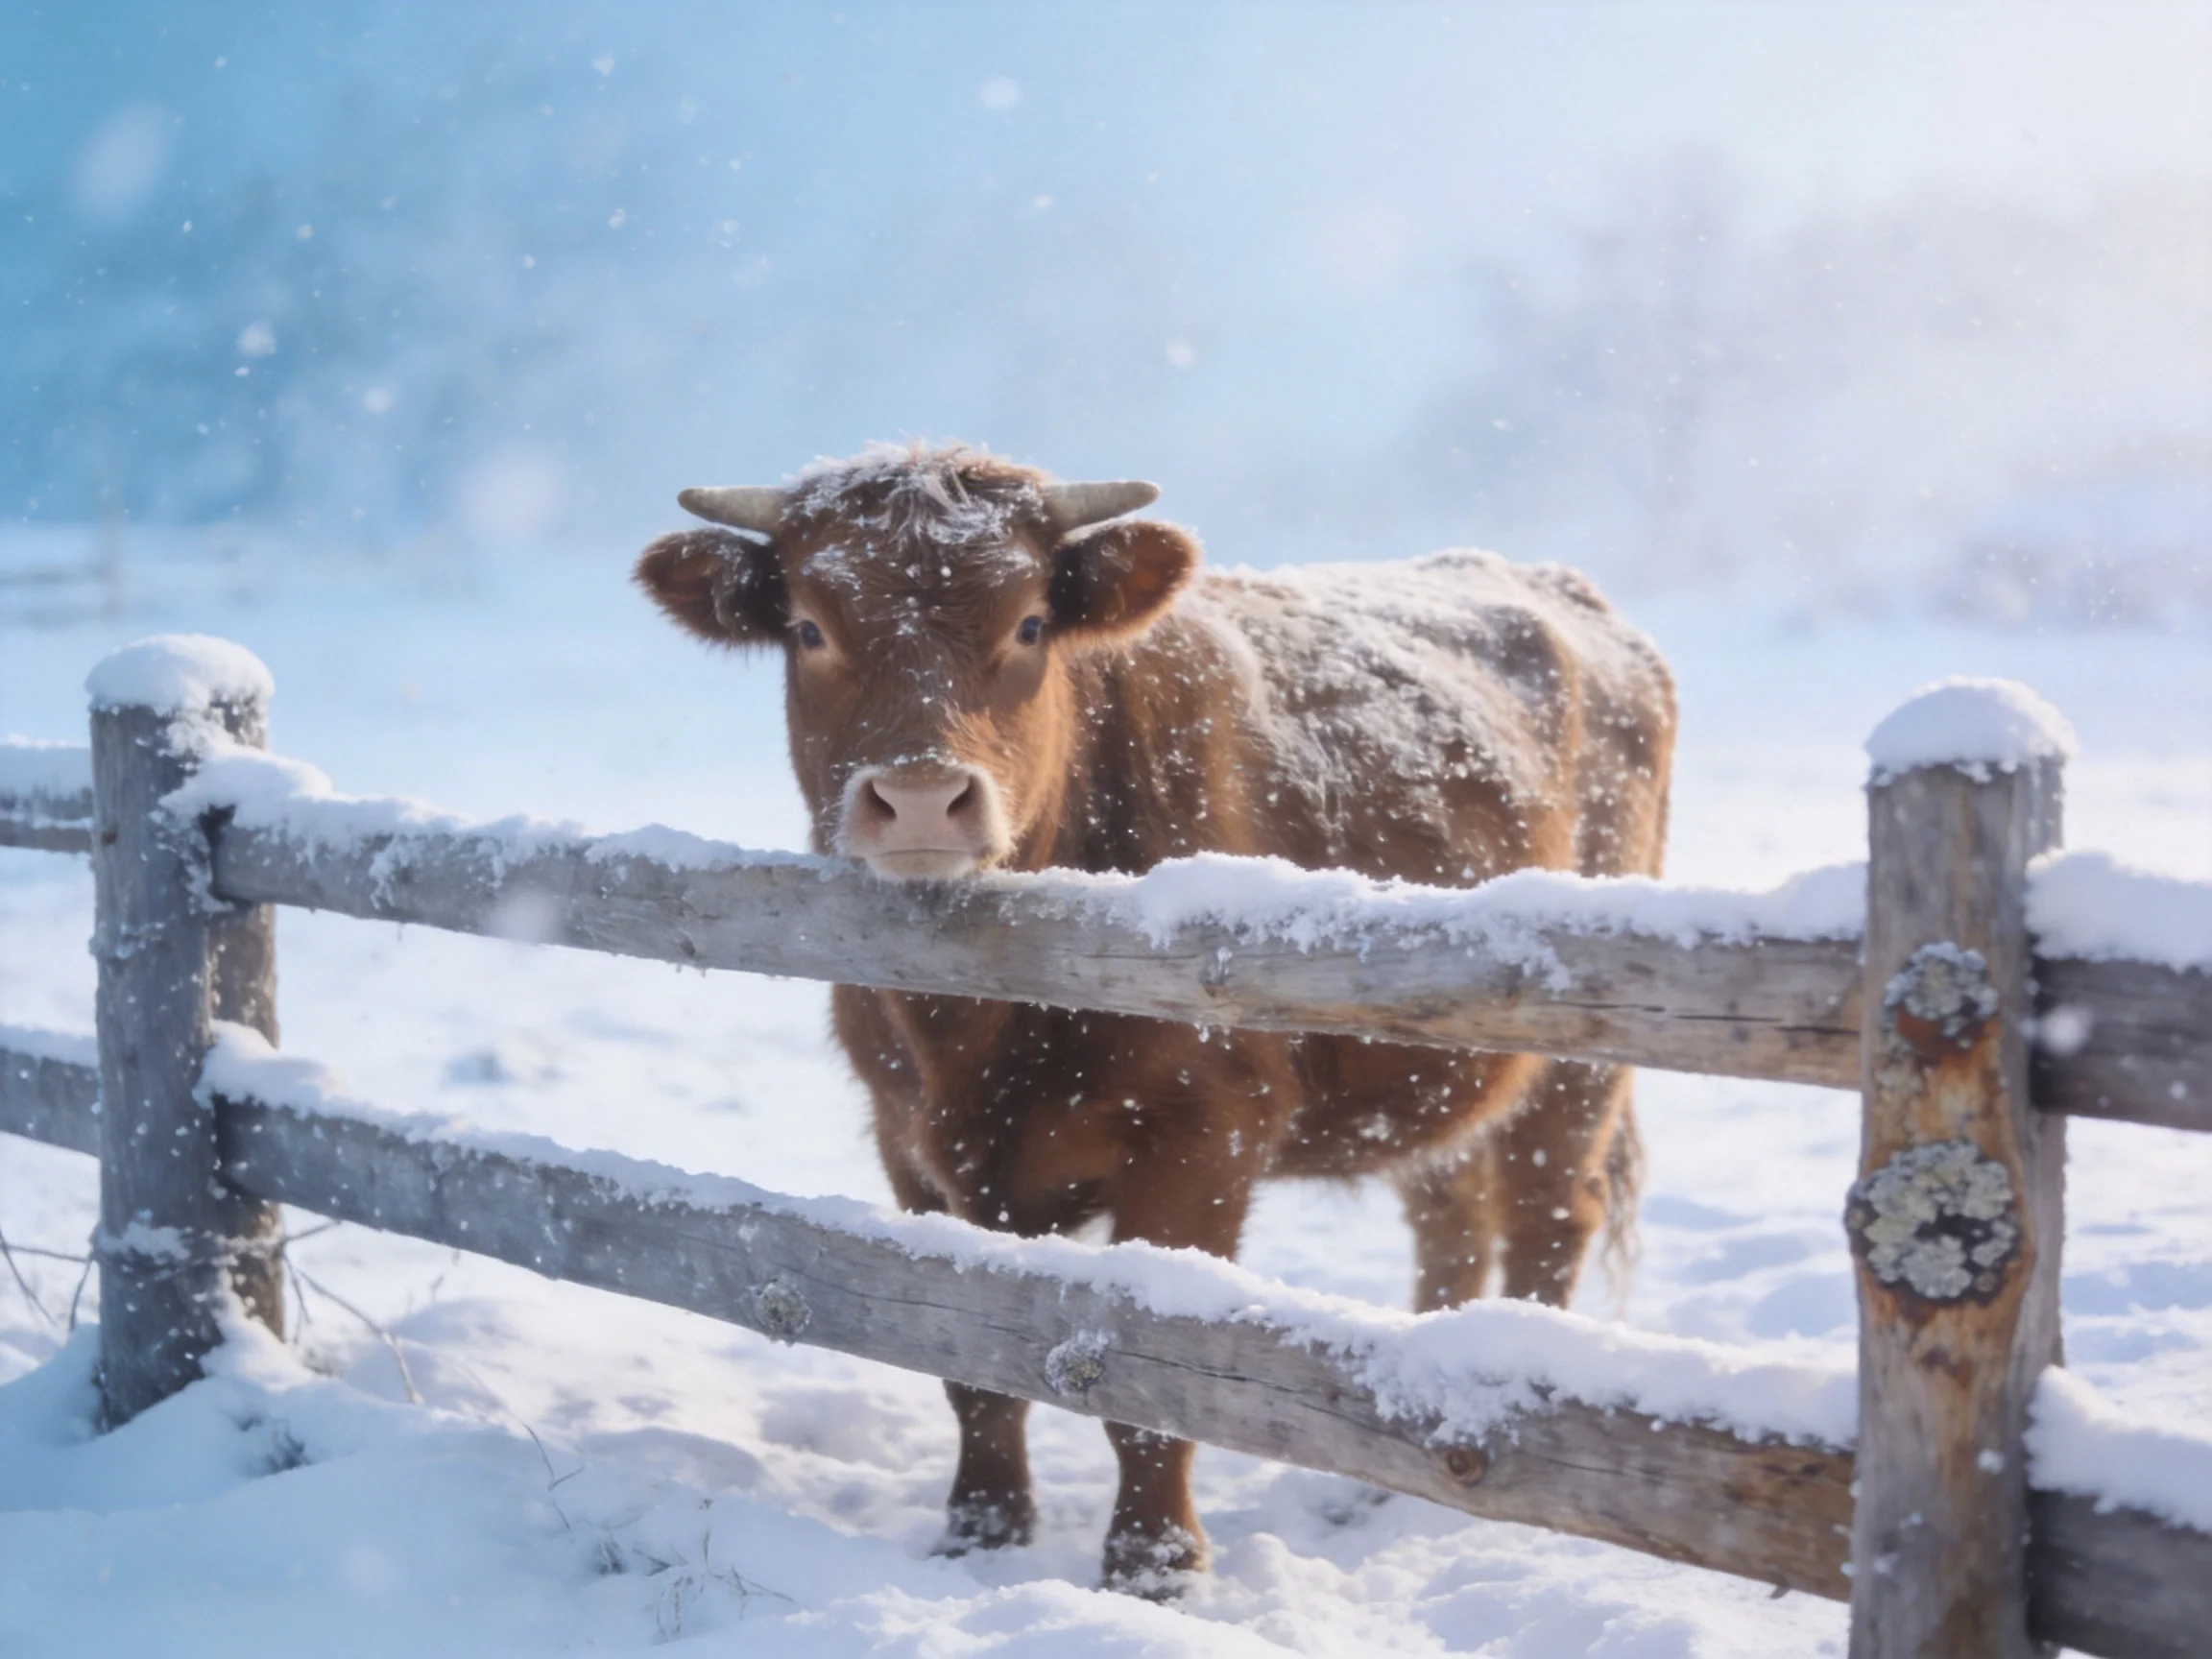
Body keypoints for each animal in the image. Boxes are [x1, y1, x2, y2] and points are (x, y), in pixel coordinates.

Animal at [634, 442, 1675, 1594]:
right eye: (812, 626)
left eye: (1029, 623)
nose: (919, 799)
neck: (973, 1024)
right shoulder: (909, 1142)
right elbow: (969, 1367)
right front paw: (981, 1531)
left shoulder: (1201, 1138)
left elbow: (1149, 1382)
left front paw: (1153, 1566)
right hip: (1429, 1074)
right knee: (1451, 1217)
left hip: (1573, 1057)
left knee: (1547, 1217)